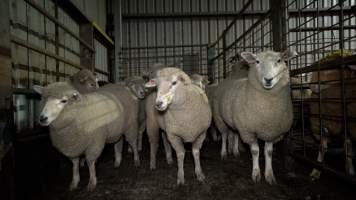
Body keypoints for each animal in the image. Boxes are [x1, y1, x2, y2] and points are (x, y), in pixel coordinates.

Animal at [214, 49, 298, 184]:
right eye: (257, 61)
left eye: (279, 60)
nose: (268, 79)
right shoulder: (249, 130)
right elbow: (255, 151)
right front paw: (256, 173)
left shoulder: (271, 131)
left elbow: (268, 152)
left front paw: (269, 174)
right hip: (219, 118)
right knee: (224, 135)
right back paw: (224, 152)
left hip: (237, 122)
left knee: (235, 134)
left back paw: (235, 151)